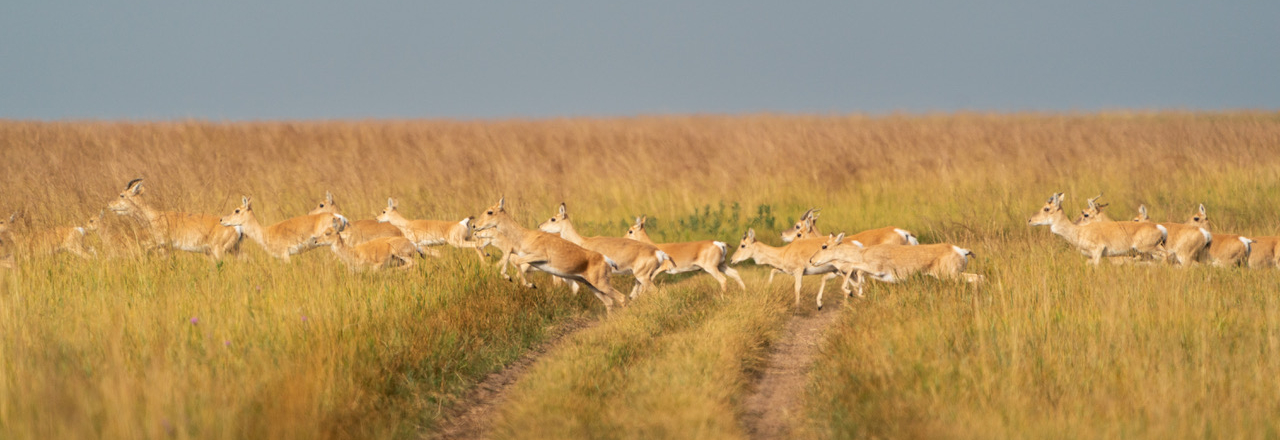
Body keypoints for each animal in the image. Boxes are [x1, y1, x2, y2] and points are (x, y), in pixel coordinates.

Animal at [471, 197, 628, 315]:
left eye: (490, 211)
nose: (474, 226)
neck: (525, 236)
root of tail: (606, 259)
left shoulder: (538, 257)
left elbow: (517, 263)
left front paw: (531, 285)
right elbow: (509, 259)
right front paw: (508, 277)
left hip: (601, 284)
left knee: (622, 298)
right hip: (591, 285)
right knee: (609, 302)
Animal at [538, 203, 670, 299]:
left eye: (553, 219)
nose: (539, 226)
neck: (583, 241)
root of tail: (658, 253)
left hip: (643, 277)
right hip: (641, 278)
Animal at [808, 233, 981, 299]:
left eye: (824, 246)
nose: (811, 260)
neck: (863, 252)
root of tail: (961, 250)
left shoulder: (875, 270)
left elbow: (853, 267)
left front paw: (851, 292)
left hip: (951, 276)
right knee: (980, 277)